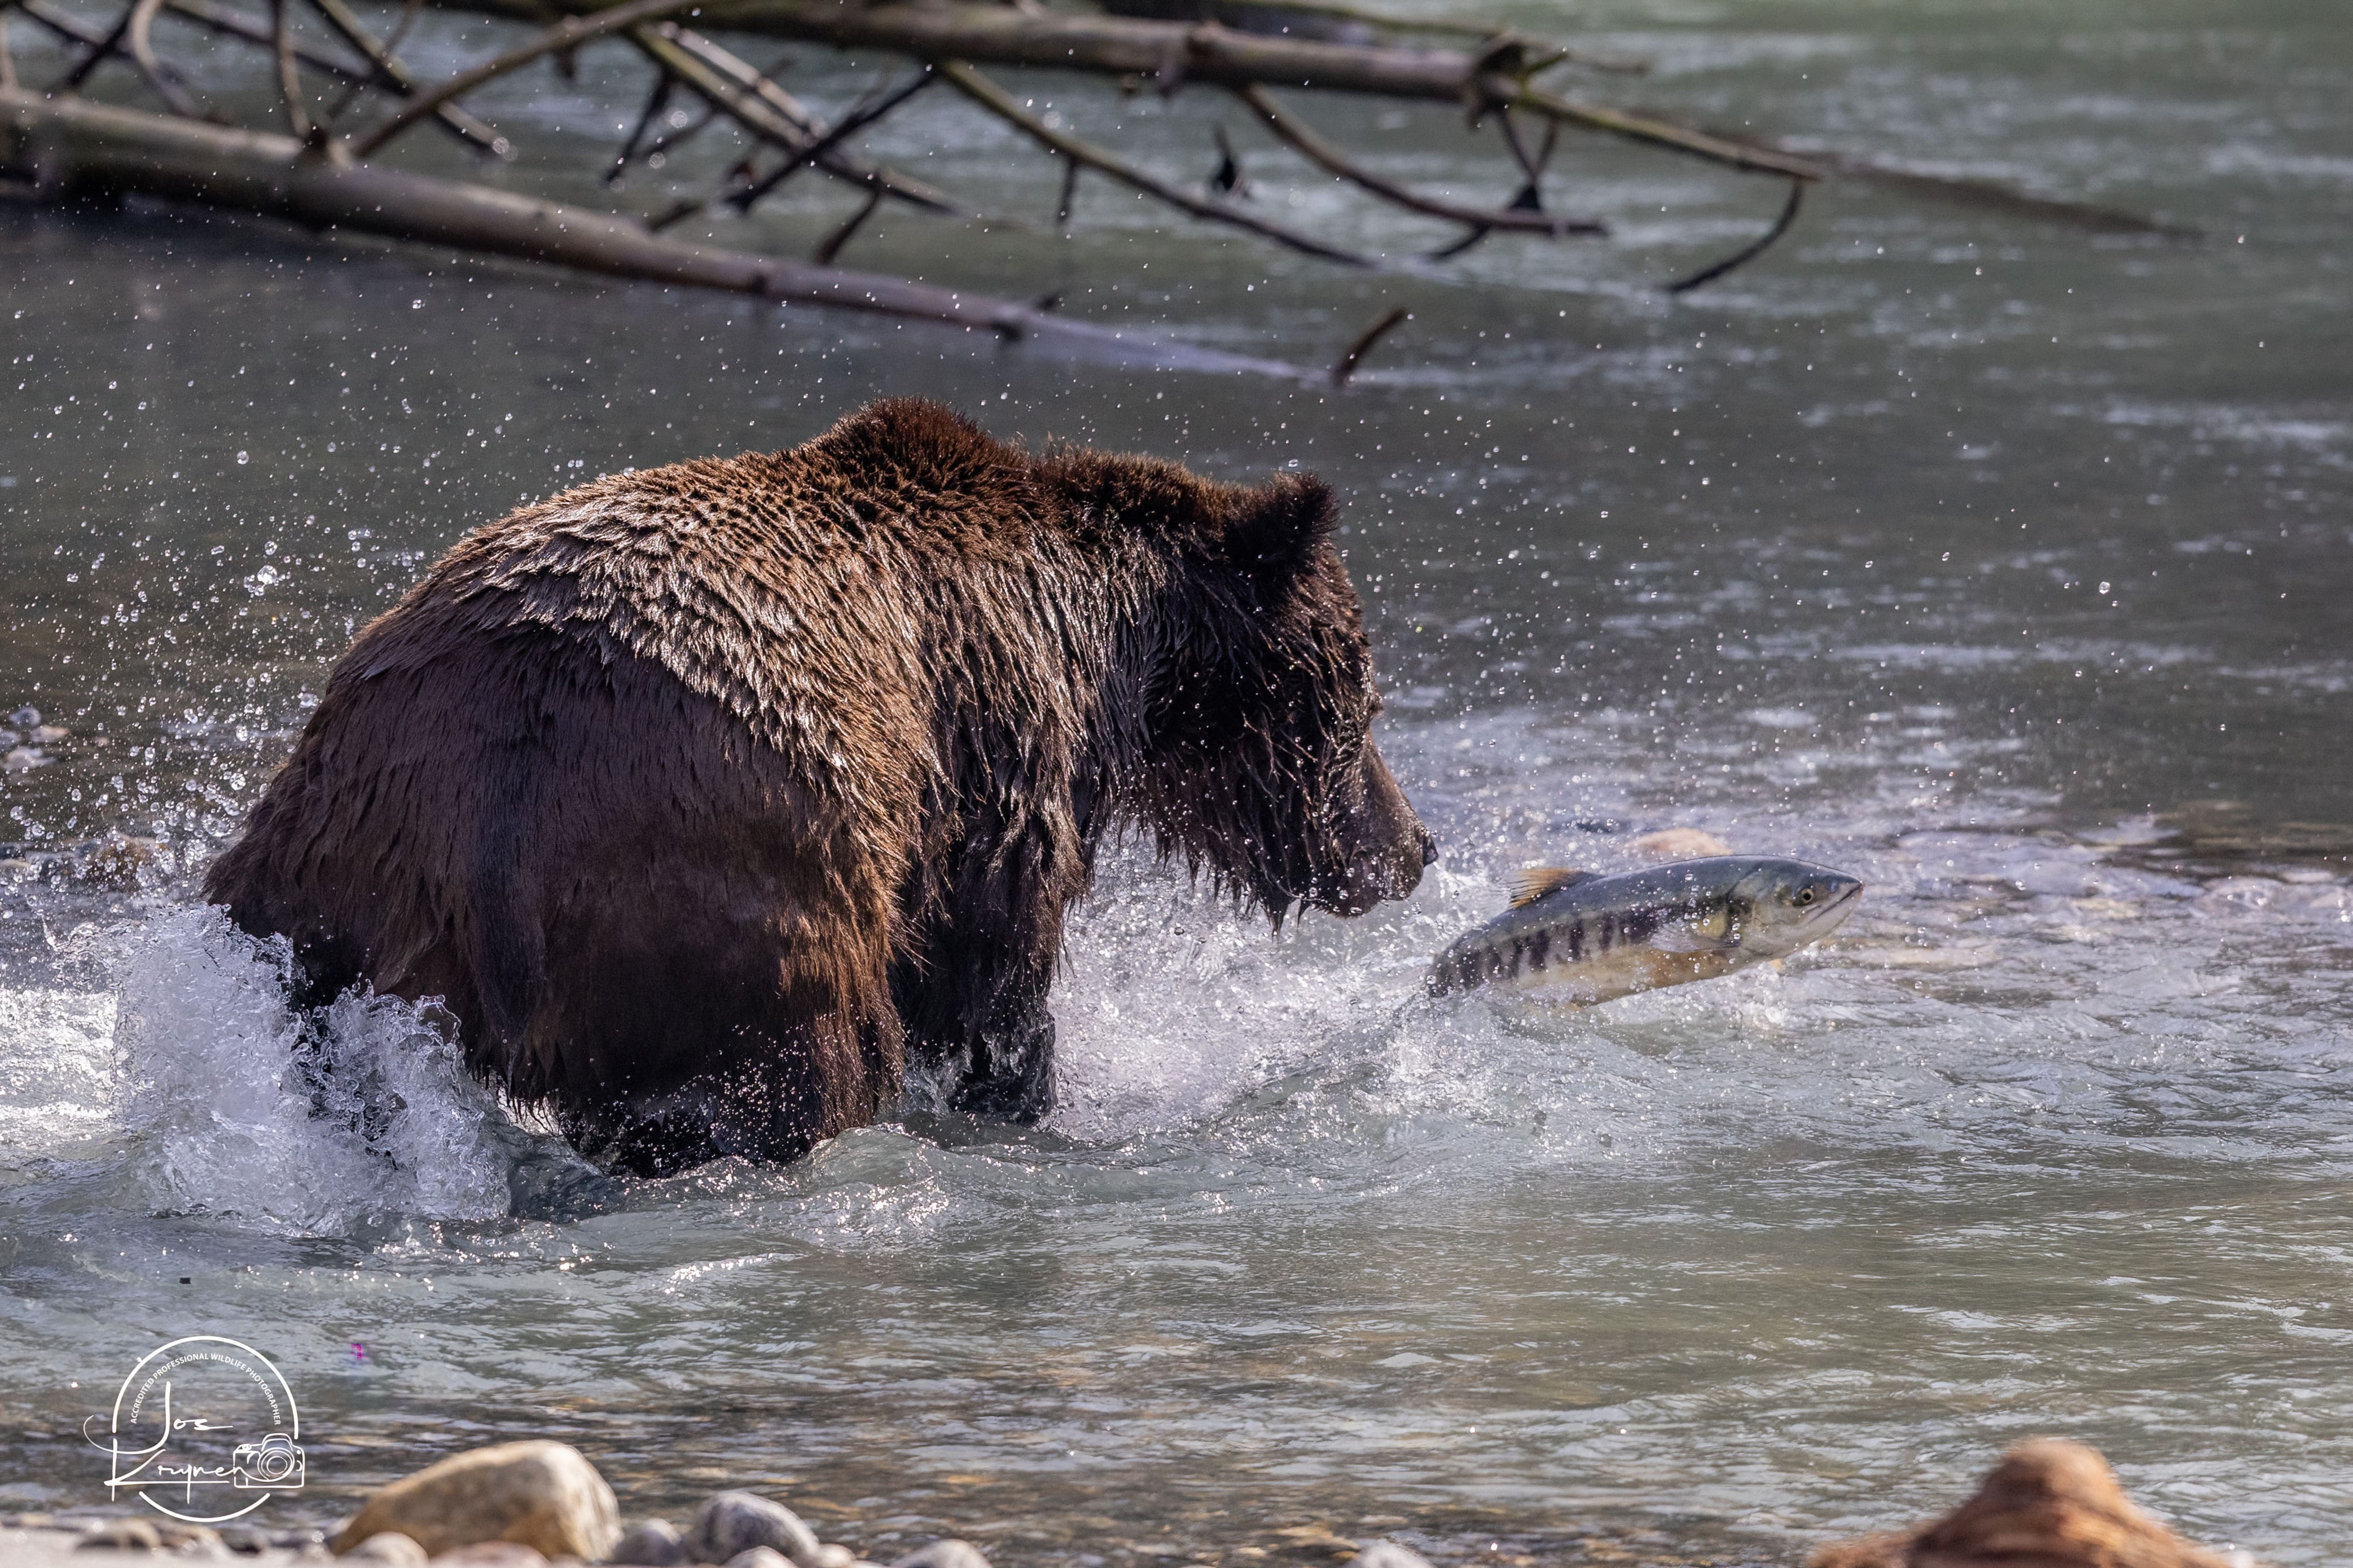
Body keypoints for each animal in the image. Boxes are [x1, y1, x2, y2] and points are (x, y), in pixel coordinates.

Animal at [203, 399, 1434, 1176]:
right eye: (1362, 701)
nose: (1413, 849)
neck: (1109, 643)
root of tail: (488, 837)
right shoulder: (993, 748)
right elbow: (992, 964)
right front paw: (1024, 1097)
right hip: (730, 889)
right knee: (796, 1068)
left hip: (326, 879)